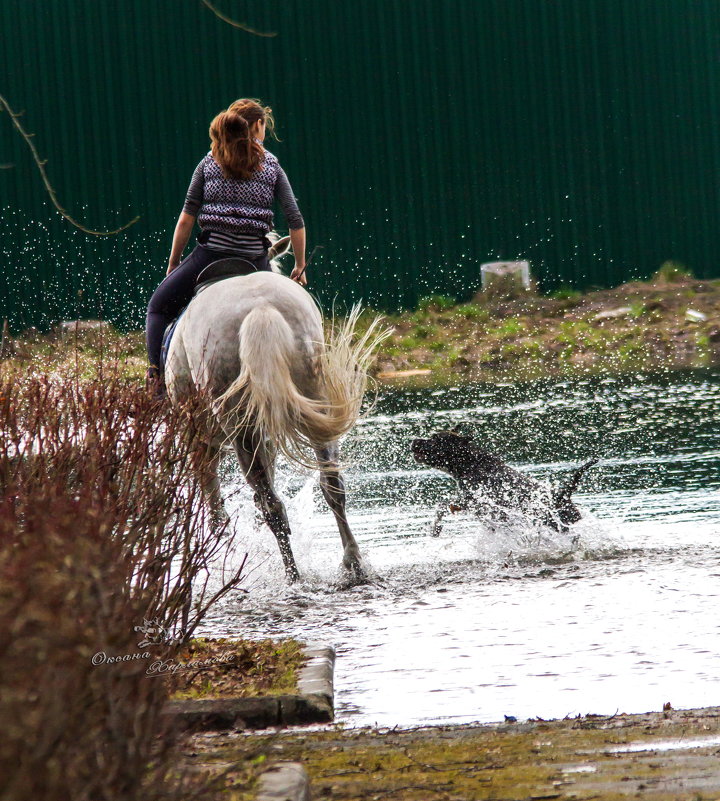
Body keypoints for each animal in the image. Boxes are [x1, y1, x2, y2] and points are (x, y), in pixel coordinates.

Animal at [165, 238, 386, 580]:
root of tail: (260, 310)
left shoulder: (201, 438)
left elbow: (213, 500)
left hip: (238, 428)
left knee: (270, 505)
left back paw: (292, 576)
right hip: (314, 398)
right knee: (332, 485)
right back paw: (354, 563)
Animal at [410, 428, 596, 536]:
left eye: (435, 439)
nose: (414, 440)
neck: (471, 464)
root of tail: (563, 496)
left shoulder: (476, 501)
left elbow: (443, 505)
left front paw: (435, 528)